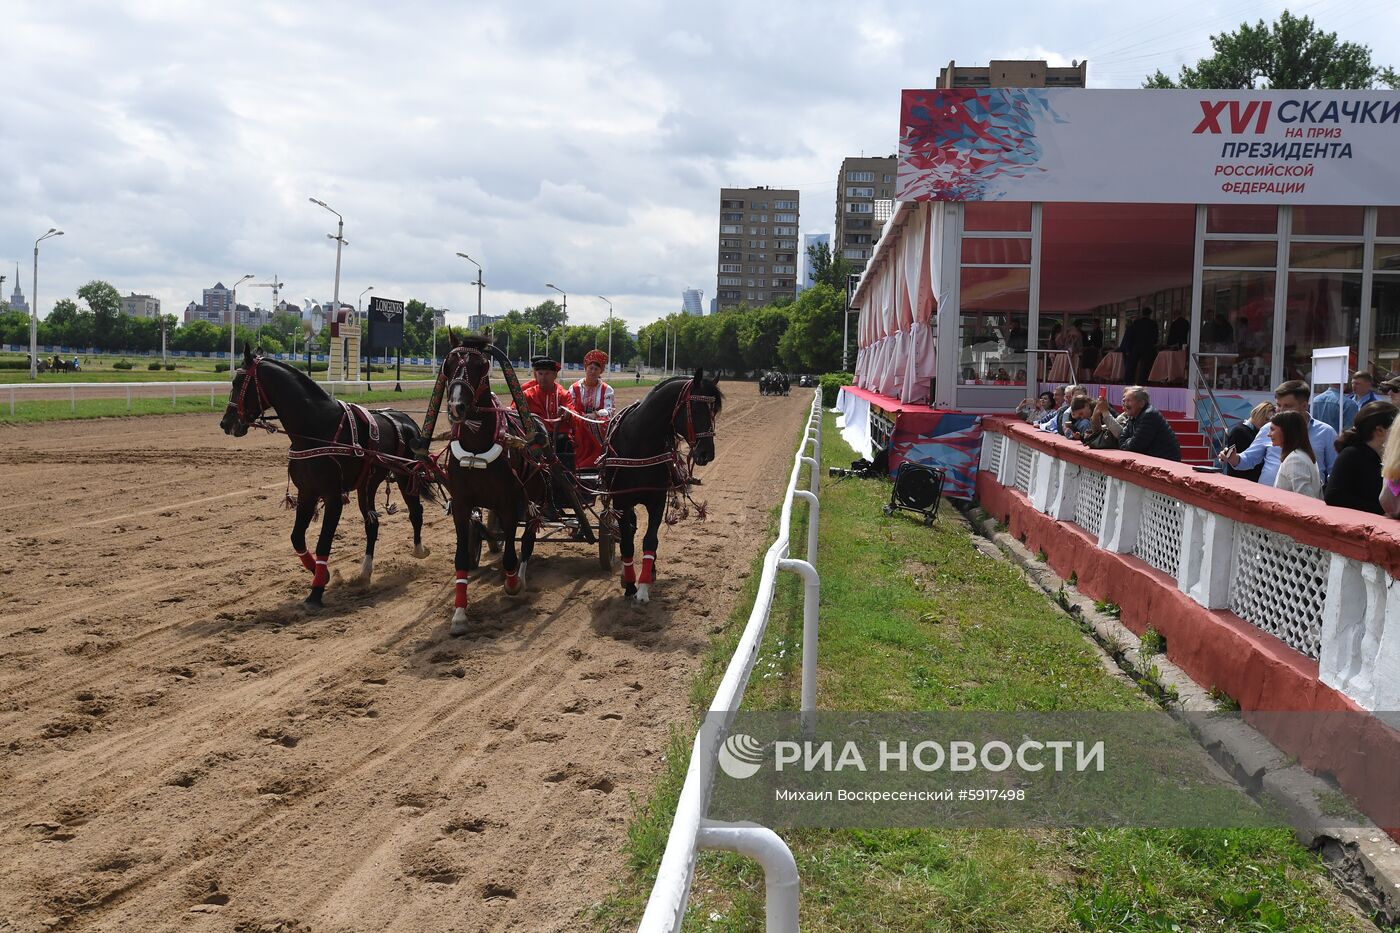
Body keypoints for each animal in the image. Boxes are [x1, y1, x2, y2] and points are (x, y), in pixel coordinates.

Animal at [218, 344, 434, 607]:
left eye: (238, 382)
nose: (226, 422)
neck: (317, 429)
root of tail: (406, 420)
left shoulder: (333, 496)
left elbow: (323, 542)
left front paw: (316, 591)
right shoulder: (307, 492)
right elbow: (297, 538)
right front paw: (321, 573)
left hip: (406, 476)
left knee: (416, 512)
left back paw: (419, 550)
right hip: (368, 485)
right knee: (372, 523)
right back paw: (365, 572)